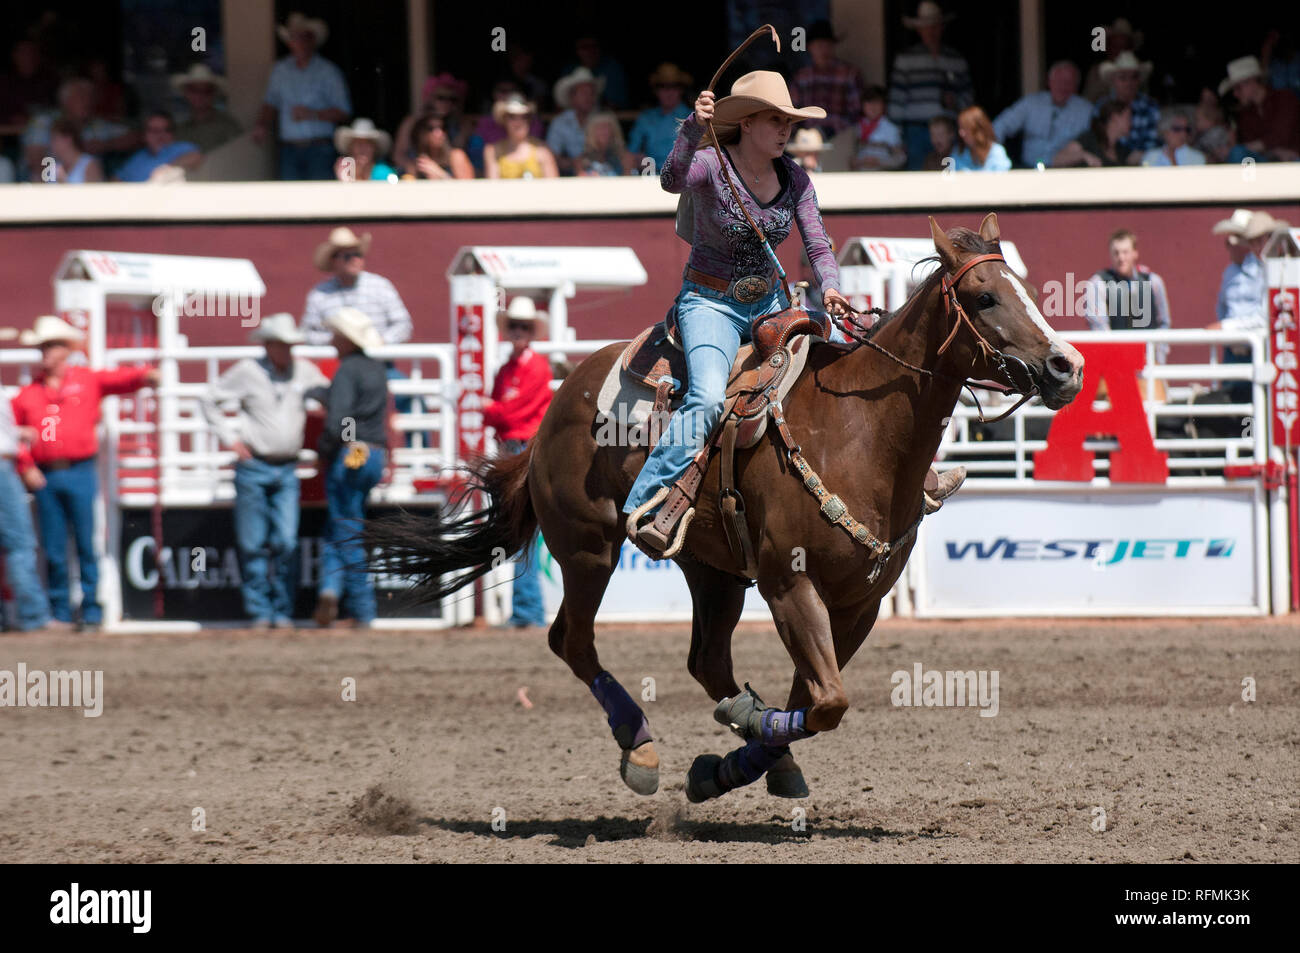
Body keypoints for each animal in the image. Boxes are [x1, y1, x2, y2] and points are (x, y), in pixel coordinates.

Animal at [368, 213, 1085, 802]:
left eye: (1026, 288)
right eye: (984, 295)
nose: (1067, 365)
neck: (858, 431)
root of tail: (557, 402)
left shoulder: (859, 601)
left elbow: (815, 700)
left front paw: (732, 763)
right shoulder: (789, 583)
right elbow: (826, 701)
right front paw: (742, 738)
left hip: (711, 570)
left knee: (707, 660)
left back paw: (742, 730)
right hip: (587, 547)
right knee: (572, 639)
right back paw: (642, 746)